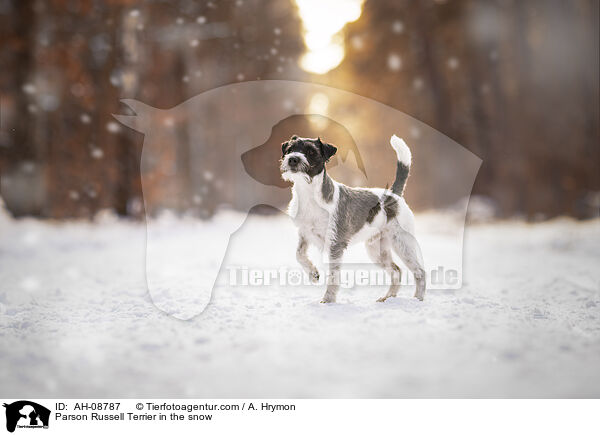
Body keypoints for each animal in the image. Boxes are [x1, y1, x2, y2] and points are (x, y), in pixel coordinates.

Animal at [278, 135, 424, 304]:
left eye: (311, 151)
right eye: (290, 149)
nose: (293, 159)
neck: (309, 195)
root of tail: (393, 194)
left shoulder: (335, 244)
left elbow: (333, 276)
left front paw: (328, 300)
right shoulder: (305, 234)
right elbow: (299, 254)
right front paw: (313, 274)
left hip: (402, 243)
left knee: (419, 271)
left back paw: (418, 298)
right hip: (376, 249)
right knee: (396, 271)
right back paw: (388, 298)